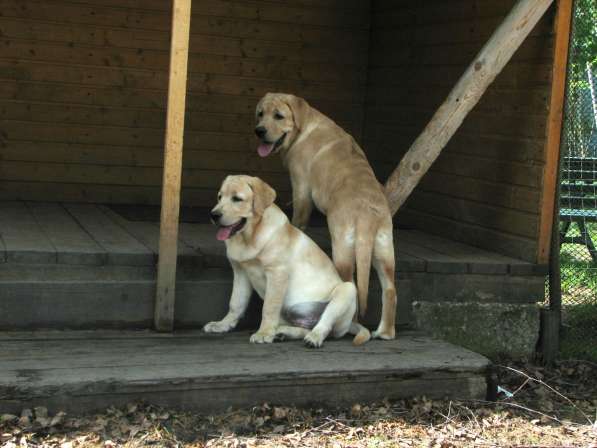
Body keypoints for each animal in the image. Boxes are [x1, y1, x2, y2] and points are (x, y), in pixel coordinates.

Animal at [201, 174, 368, 346]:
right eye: (219, 197)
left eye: (237, 199)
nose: (213, 215)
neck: (249, 237)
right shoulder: (241, 272)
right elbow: (236, 303)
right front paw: (223, 324)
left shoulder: (277, 273)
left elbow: (268, 307)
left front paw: (264, 333)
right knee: (304, 328)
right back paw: (282, 333)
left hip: (347, 290)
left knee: (325, 325)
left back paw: (313, 337)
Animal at [254, 93, 398, 340]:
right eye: (260, 114)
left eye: (278, 116)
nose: (259, 130)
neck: (303, 126)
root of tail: (367, 214)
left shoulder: (301, 188)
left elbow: (298, 220)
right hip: (384, 251)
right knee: (390, 290)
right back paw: (386, 332)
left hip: (342, 249)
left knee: (349, 287)